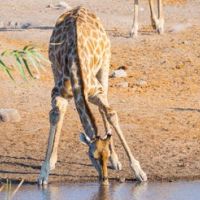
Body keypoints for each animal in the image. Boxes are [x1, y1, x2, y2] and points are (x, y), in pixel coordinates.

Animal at [38, 5, 147, 185]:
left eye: (105, 155)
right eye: (92, 156)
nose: (104, 180)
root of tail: (79, 7)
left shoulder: (97, 91)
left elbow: (111, 114)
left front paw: (138, 171)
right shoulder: (57, 92)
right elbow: (55, 115)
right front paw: (44, 172)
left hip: (105, 63)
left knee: (104, 108)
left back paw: (117, 161)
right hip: (54, 68)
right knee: (62, 110)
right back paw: (53, 160)